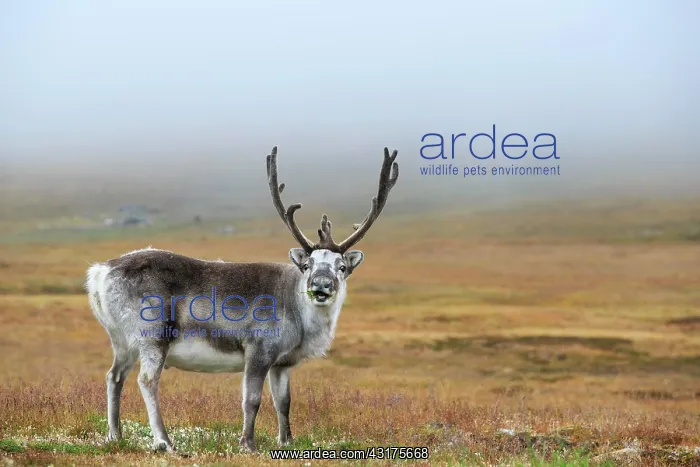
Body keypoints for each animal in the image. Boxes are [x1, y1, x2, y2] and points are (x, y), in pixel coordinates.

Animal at [85, 146, 399, 453]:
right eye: (307, 265)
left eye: (341, 267)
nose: (320, 286)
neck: (299, 312)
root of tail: (101, 271)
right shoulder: (258, 350)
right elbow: (252, 400)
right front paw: (247, 443)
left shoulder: (281, 364)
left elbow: (283, 403)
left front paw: (286, 441)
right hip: (153, 337)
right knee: (147, 380)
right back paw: (164, 442)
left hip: (122, 341)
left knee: (114, 377)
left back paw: (115, 436)